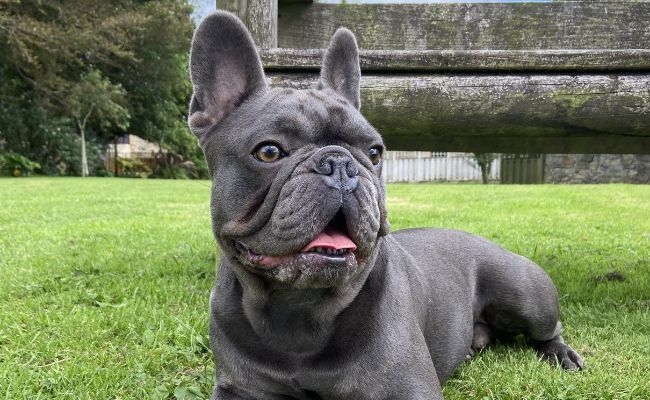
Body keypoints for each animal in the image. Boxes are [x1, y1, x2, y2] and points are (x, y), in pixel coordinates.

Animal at [187, 11, 584, 400]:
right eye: (268, 151)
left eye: (374, 152)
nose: (341, 164)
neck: (299, 309)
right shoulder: (238, 388)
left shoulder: (408, 388)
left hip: (525, 294)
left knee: (548, 328)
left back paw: (560, 353)